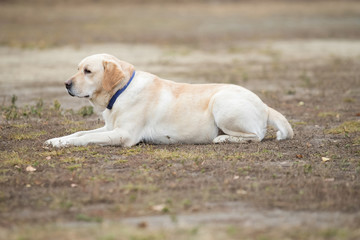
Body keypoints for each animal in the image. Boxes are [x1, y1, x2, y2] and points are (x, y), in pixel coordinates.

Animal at [44, 54, 292, 148]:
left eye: (88, 71)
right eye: (77, 68)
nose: (66, 84)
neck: (121, 91)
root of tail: (264, 105)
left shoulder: (123, 135)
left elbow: (85, 139)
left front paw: (61, 143)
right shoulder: (109, 127)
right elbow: (79, 133)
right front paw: (56, 139)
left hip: (222, 102)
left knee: (256, 136)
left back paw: (223, 138)